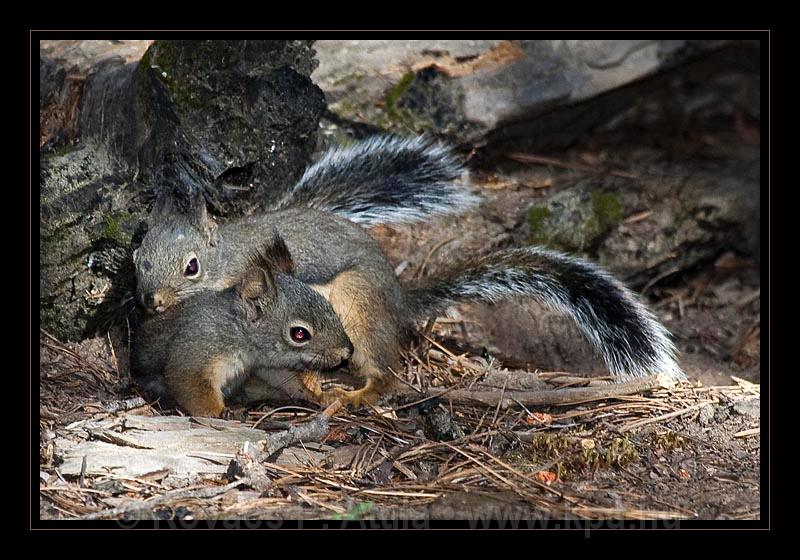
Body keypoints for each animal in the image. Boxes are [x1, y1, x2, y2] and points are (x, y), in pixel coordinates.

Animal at [134, 132, 684, 412]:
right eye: (137, 263)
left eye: (191, 266)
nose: (152, 303)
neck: (226, 256)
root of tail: (399, 296)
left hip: (356, 305)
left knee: (386, 372)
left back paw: (358, 392)